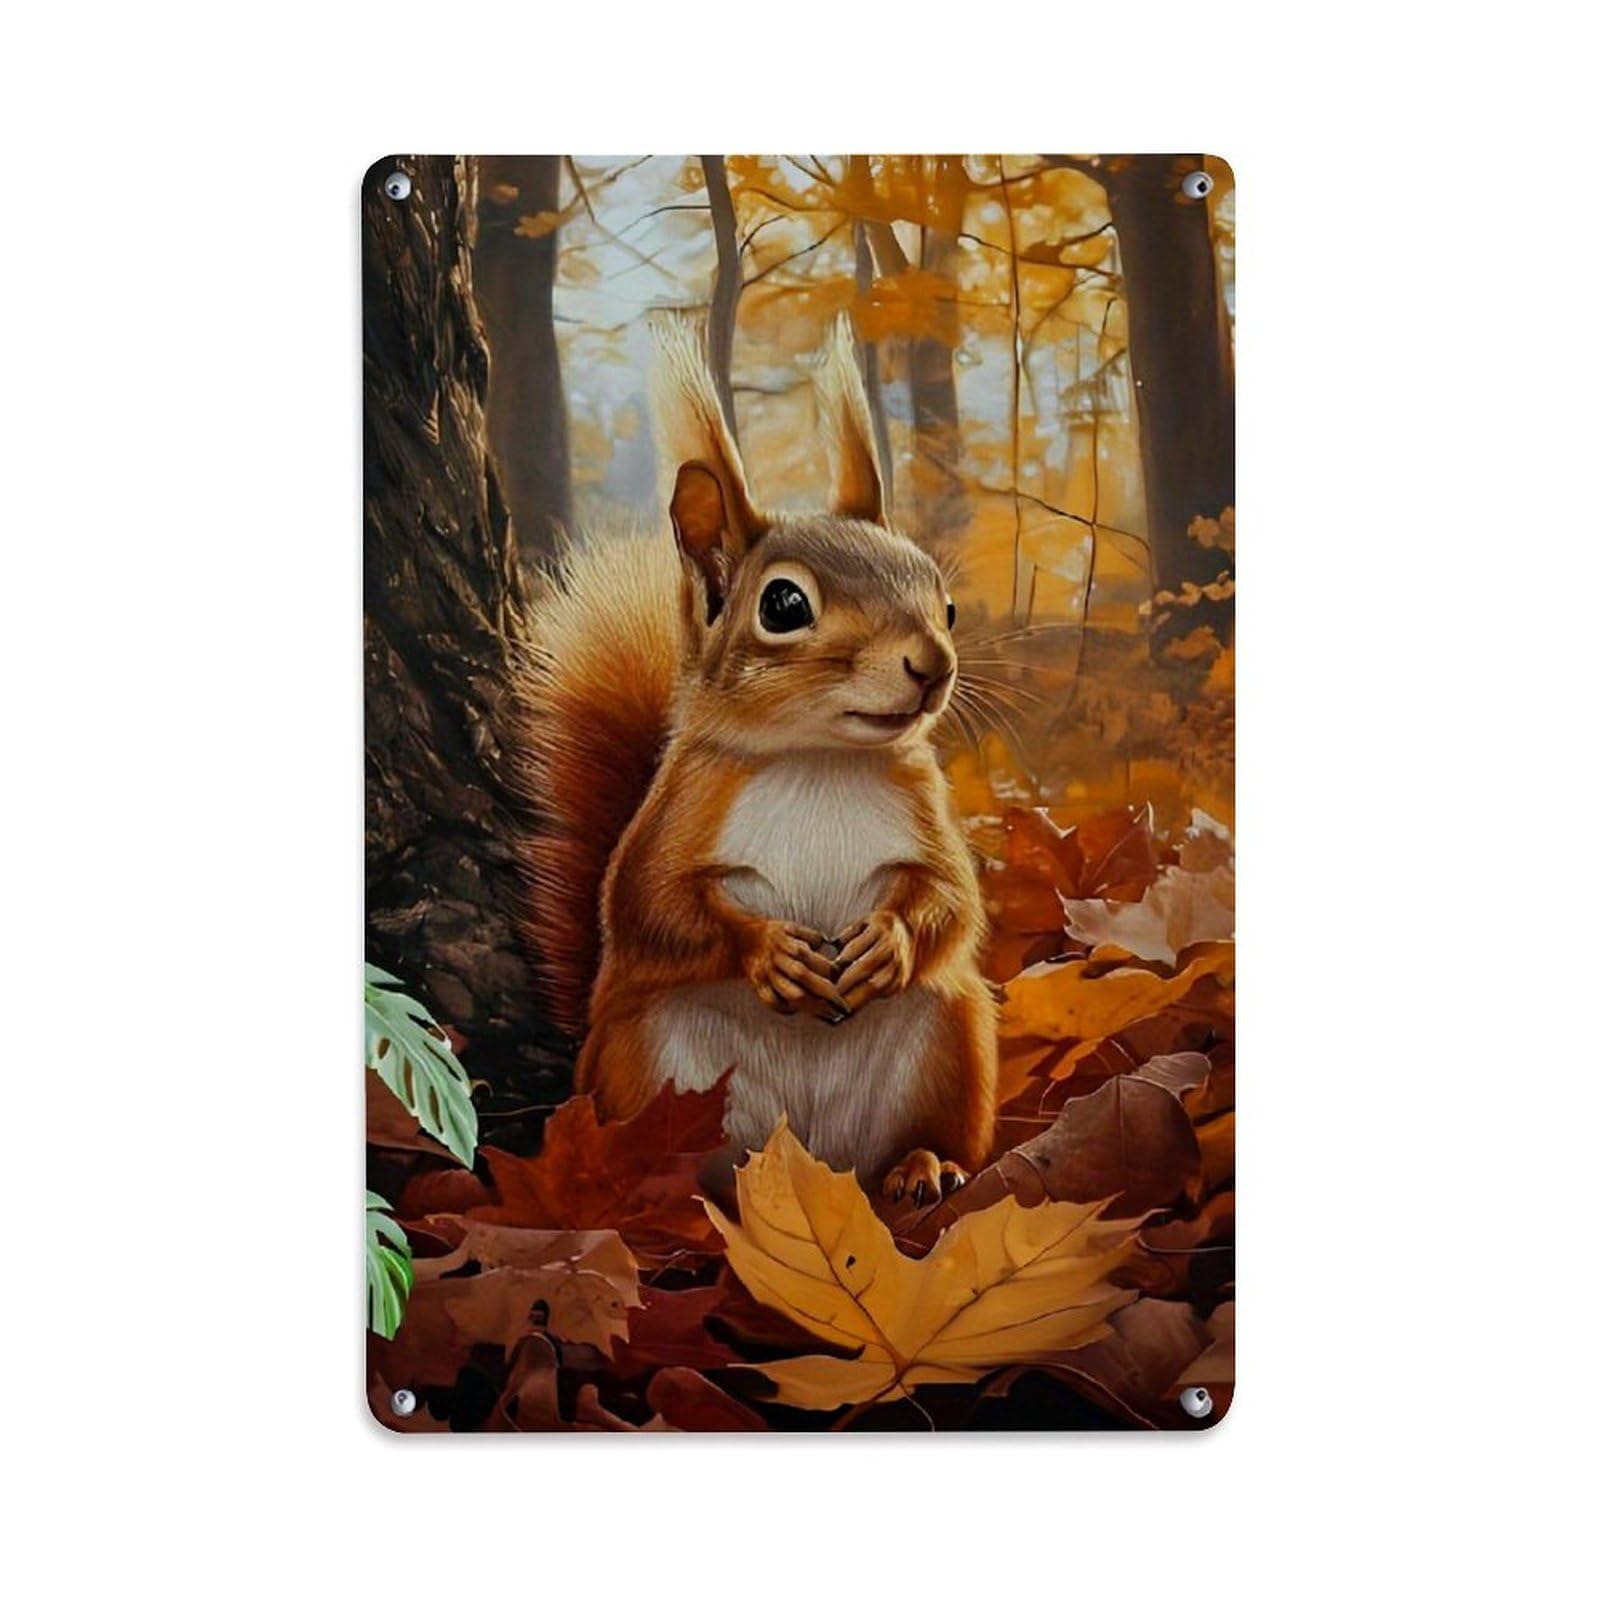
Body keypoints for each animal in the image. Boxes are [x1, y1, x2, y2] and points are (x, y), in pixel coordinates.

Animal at [512, 321, 996, 1204]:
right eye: (783, 604)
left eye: (943, 600)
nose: (933, 665)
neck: (818, 760)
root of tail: (817, 1156)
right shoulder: (674, 814)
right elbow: (653, 906)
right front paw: (769, 951)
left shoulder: (927, 809)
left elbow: (952, 898)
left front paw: (887, 943)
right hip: (643, 1058)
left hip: (954, 1033)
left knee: (934, 1115)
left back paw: (923, 1164)